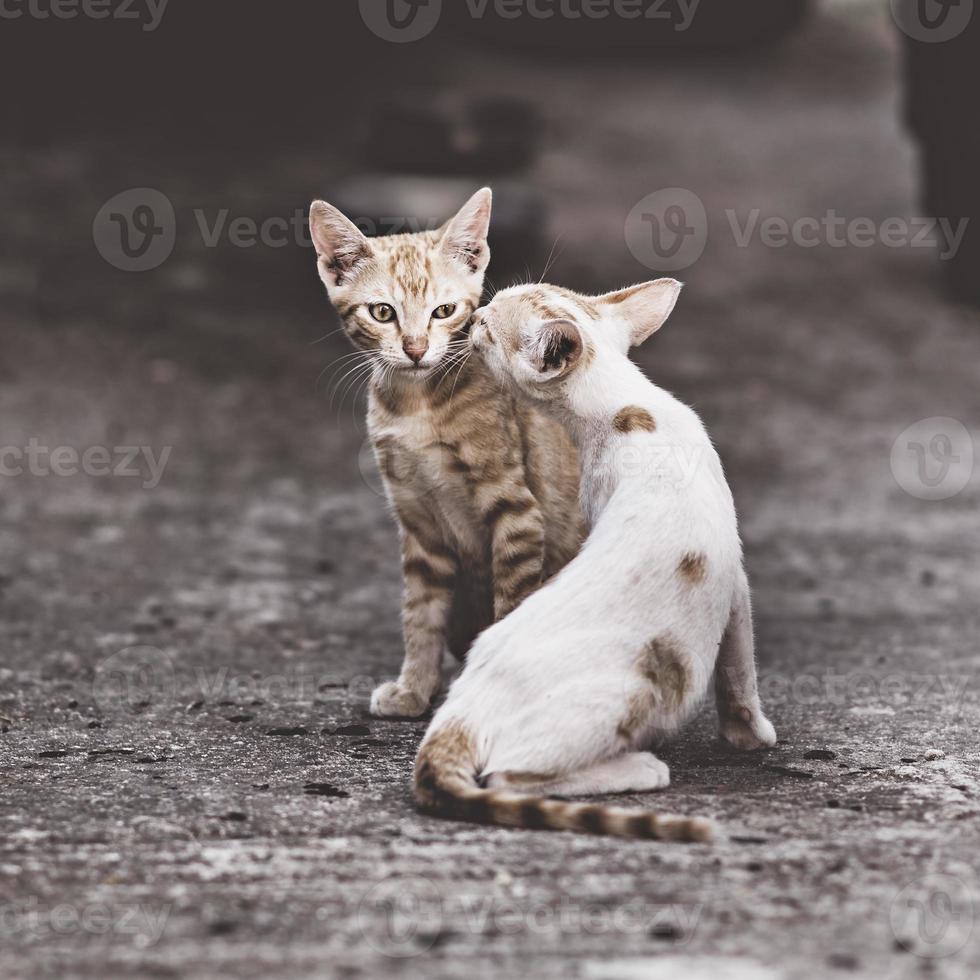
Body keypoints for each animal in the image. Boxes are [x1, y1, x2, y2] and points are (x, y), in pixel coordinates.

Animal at [306, 188, 580, 716]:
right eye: (383, 313)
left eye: (444, 310)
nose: (415, 349)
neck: (416, 405)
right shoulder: (417, 521)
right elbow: (420, 611)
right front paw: (413, 687)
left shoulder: (515, 510)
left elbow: (509, 605)